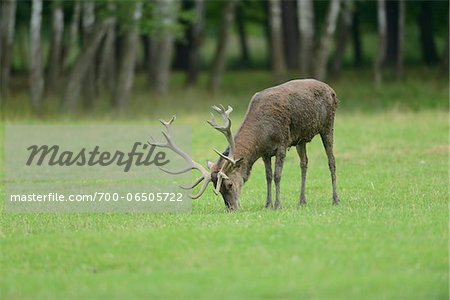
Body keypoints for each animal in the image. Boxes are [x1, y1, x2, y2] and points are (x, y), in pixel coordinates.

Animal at [149, 79, 340, 211]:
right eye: (216, 188)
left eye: (229, 185)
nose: (231, 209)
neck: (263, 133)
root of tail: (331, 89)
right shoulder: (265, 152)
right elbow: (268, 176)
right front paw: (267, 204)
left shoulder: (282, 143)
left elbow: (277, 175)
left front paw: (278, 205)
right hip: (301, 138)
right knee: (304, 163)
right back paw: (302, 201)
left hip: (327, 125)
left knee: (331, 160)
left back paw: (335, 199)